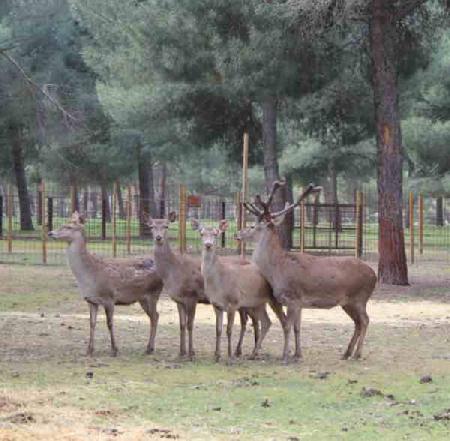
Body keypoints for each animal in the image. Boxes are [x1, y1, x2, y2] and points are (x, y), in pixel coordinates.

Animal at [48, 211, 163, 356]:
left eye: (68, 227)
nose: (50, 233)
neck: (89, 278)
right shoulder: (91, 300)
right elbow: (92, 323)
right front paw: (89, 350)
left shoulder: (109, 297)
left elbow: (109, 323)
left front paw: (114, 349)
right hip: (142, 298)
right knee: (155, 316)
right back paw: (149, 347)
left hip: (153, 293)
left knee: (154, 316)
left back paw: (149, 348)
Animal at [192, 219, 286, 360]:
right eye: (201, 233)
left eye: (216, 233)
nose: (208, 245)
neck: (218, 284)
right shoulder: (215, 304)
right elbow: (218, 330)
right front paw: (217, 355)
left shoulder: (234, 302)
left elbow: (229, 329)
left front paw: (230, 356)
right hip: (257, 303)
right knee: (266, 322)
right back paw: (253, 353)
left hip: (274, 298)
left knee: (283, 320)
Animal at [237, 181, 378, 360]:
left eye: (253, 226)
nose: (237, 234)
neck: (277, 270)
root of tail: (374, 275)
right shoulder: (299, 303)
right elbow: (297, 327)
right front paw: (297, 354)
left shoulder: (293, 297)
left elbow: (287, 326)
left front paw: (285, 355)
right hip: (348, 302)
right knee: (358, 322)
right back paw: (346, 353)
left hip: (359, 297)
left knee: (365, 320)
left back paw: (357, 354)